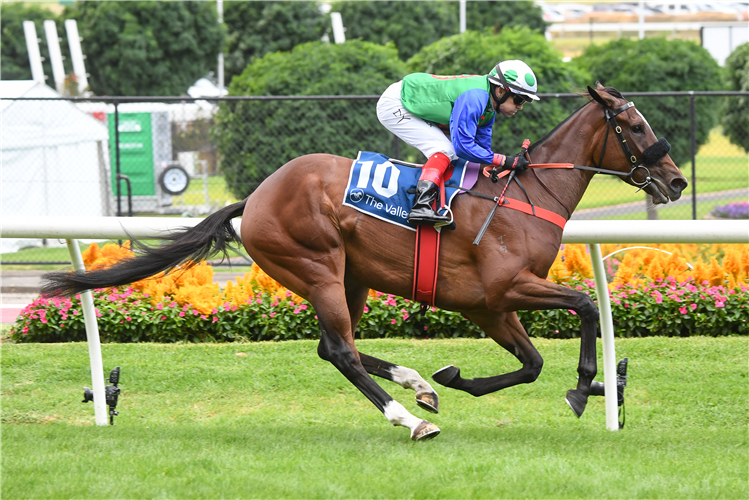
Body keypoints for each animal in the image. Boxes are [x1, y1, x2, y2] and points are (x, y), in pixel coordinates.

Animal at [39, 85, 684, 442]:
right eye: (633, 125)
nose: (676, 180)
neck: (524, 196)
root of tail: (255, 198)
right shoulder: (505, 290)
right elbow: (583, 307)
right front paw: (582, 387)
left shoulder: (489, 308)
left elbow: (530, 364)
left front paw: (456, 378)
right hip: (317, 268)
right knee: (342, 351)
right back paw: (410, 418)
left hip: (353, 278)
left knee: (333, 347)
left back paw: (419, 386)